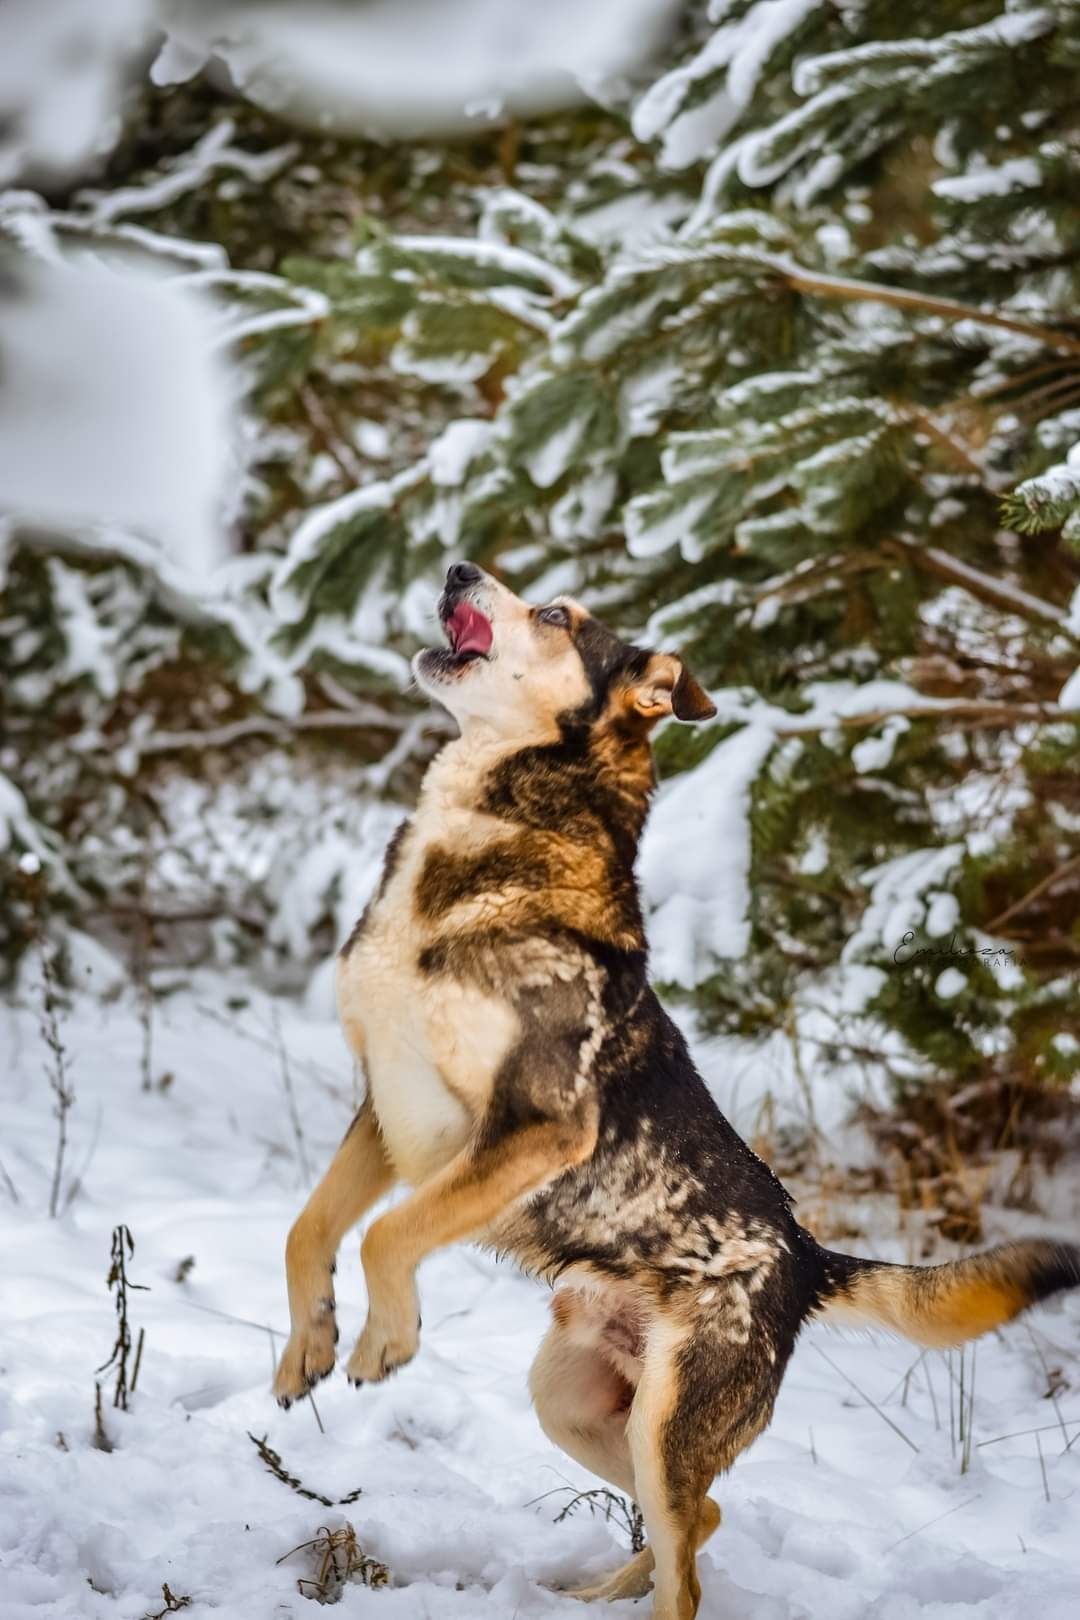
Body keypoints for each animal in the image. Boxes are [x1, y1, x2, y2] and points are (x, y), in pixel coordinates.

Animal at [275, 563, 1075, 1613]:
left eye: (555, 615)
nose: (457, 569)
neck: (489, 846)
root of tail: (807, 1261)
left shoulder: (535, 1123)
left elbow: (386, 1236)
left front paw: (384, 1340)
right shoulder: (386, 1110)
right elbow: (312, 1230)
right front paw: (309, 1348)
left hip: (664, 1422)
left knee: (690, 1557)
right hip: (575, 1406)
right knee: (700, 1519)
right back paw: (596, 1592)